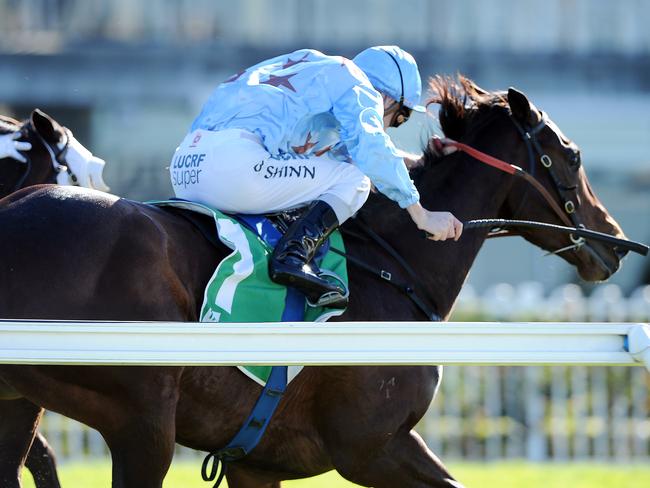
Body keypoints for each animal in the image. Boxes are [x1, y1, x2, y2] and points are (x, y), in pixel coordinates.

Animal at [0, 78, 628, 486]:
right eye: (571, 156)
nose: (616, 243)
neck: (394, 262)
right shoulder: (372, 446)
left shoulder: (256, 464)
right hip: (142, 420)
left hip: (24, 406)